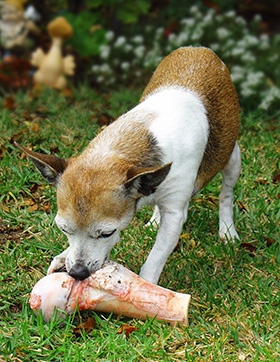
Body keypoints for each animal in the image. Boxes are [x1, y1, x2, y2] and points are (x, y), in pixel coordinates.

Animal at [17, 47, 241, 286]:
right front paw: (64, 255)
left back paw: (227, 230)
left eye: (107, 233)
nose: (77, 272)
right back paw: (155, 219)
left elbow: (155, 259)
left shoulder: (174, 214)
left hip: (232, 158)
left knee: (226, 194)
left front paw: (147, 286)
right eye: (63, 229)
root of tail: (198, 49)